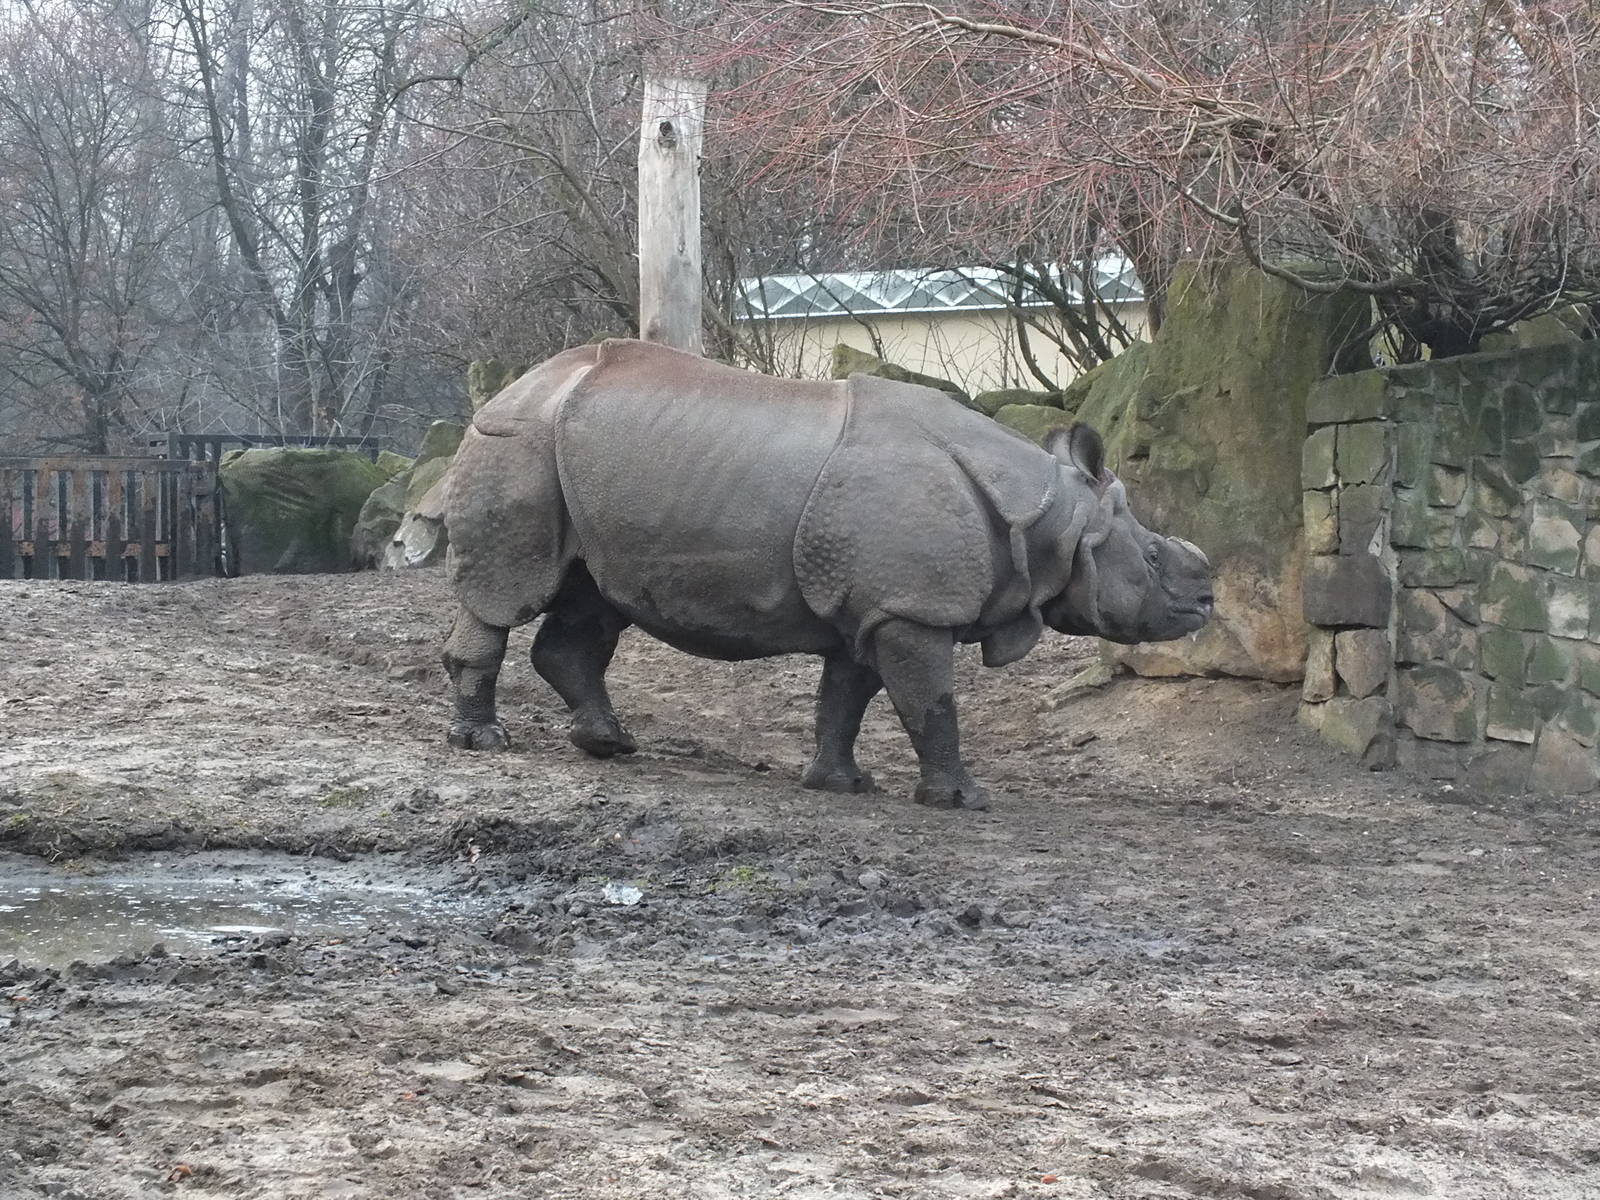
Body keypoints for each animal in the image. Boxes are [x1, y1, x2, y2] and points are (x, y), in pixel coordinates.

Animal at [442, 339, 1211, 811]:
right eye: (1150, 559)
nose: (1208, 597)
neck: (1047, 517)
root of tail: (508, 388)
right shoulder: (909, 607)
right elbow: (930, 702)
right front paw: (964, 800)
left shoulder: (871, 606)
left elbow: (846, 698)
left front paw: (841, 784)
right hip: (519, 444)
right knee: (508, 594)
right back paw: (485, 743)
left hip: (586, 470)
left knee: (593, 599)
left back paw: (609, 744)